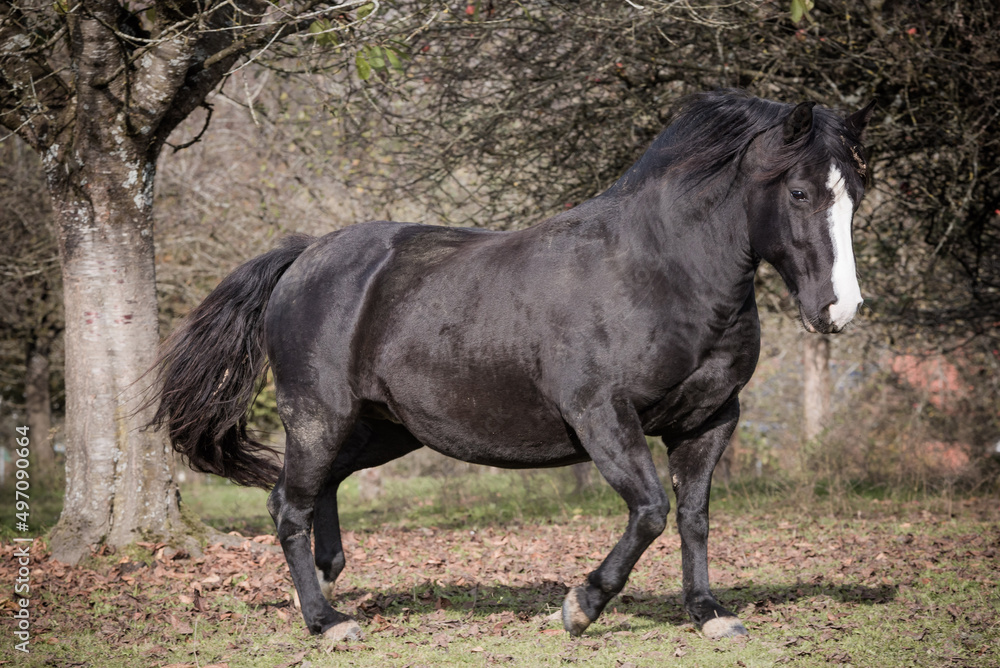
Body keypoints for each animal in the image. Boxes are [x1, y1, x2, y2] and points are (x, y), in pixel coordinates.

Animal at [149, 90, 875, 642]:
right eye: (801, 192)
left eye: (858, 196)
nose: (838, 309)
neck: (659, 272)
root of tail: (304, 255)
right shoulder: (603, 416)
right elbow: (650, 510)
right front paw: (579, 608)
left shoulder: (710, 420)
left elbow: (693, 516)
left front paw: (709, 614)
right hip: (317, 415)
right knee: (288, 506)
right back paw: (327, 621)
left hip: (384, 428)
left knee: (311, 491)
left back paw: (331, 578)